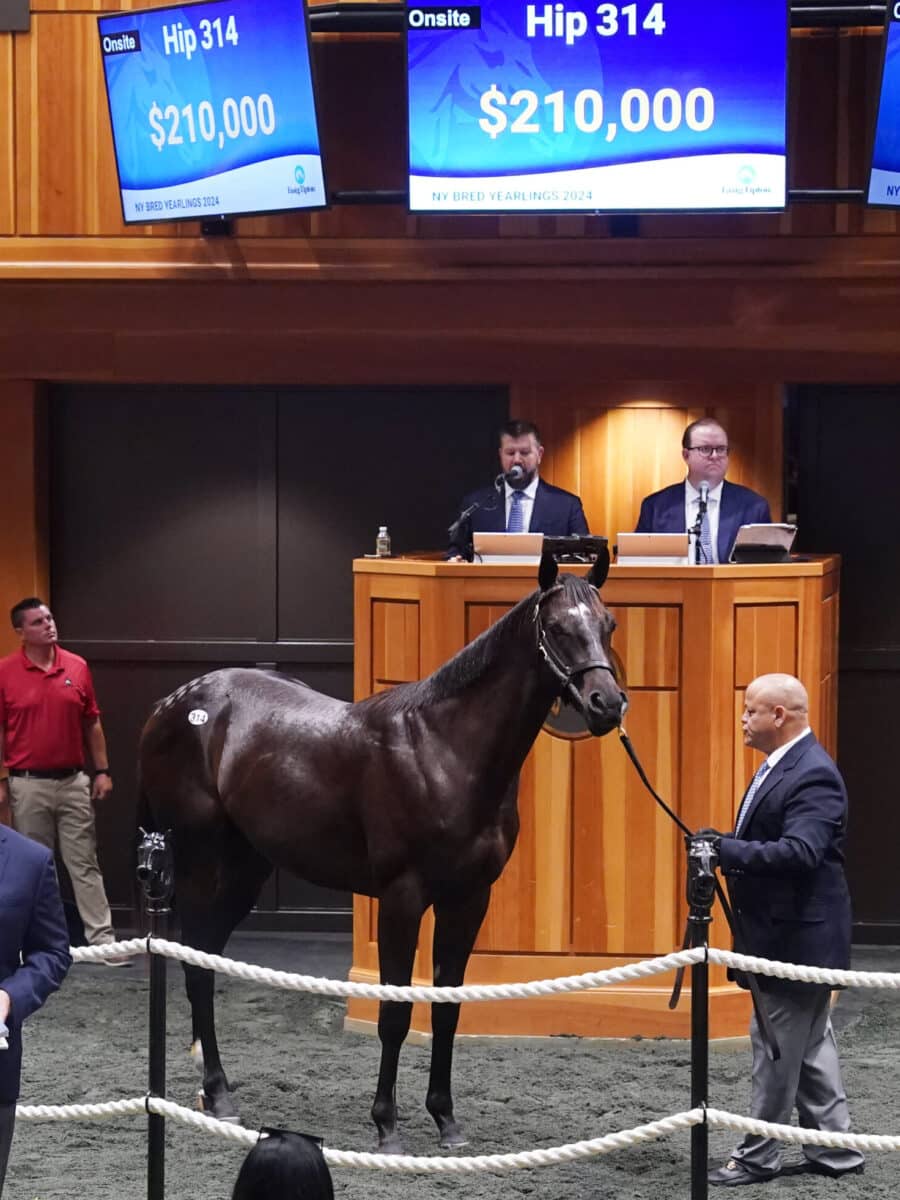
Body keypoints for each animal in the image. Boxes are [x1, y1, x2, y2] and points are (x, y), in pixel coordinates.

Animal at [137, 554, 628, 1152]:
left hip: (244, 871)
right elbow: (395, 1013)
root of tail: (175, 701)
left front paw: (446, 1120)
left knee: (205, 956)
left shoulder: (469, 898)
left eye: (608, 624)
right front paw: (387, 1126)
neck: (445, 751)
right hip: (202, 864)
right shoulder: (402, 898)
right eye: (557, 628)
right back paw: (219, 1095)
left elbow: (447, 1008)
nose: (608, 704)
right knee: (195, 966)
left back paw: (215, 1092)